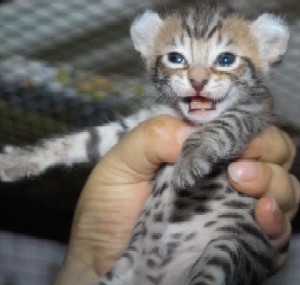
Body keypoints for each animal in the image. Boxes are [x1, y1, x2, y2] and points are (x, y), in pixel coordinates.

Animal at [0, 1, 290, 282]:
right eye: (176, 58)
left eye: (226, 59)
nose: (197, 81)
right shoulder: (135, 126)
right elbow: (82, 139)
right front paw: (19, 159)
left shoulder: (253, 113)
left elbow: (221, 125)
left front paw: (191, 159)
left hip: (221, 251)